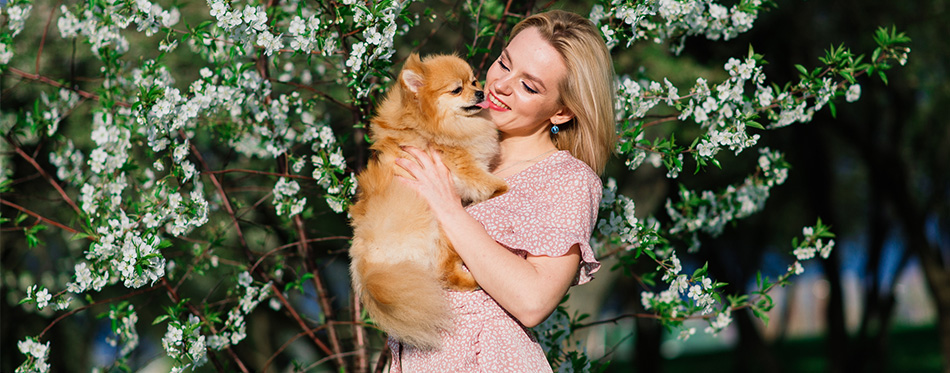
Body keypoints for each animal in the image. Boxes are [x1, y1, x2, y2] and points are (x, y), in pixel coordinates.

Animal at [350, 53, 510, 348]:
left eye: (474, 81)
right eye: (457, 89)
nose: (481, 92)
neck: (430, 125)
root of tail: (368, 270)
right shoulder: (463, 166)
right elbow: (485, 180)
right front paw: (501, 187)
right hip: (440, 230)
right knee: (444, 273)